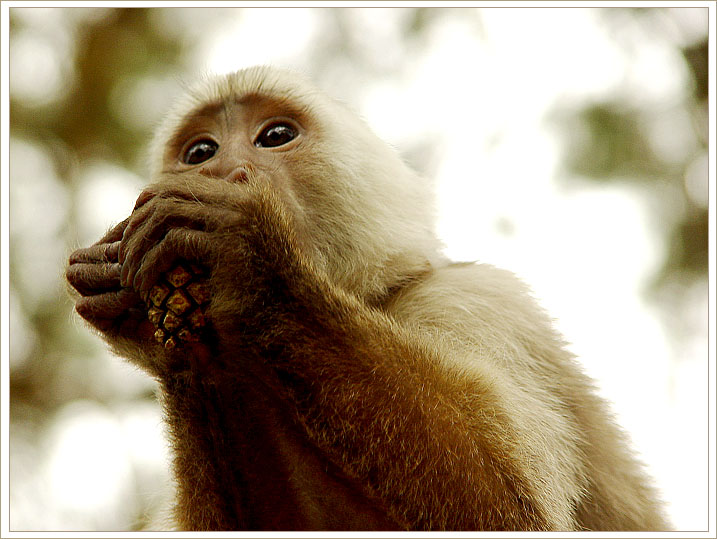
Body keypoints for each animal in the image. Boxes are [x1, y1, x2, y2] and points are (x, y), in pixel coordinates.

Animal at [64, 66, 668, 532]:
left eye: (274, 135)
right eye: (200, 151)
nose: (221, 170)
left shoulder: (476, 302)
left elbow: (511, 512)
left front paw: (252, 258)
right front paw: (165, 337)